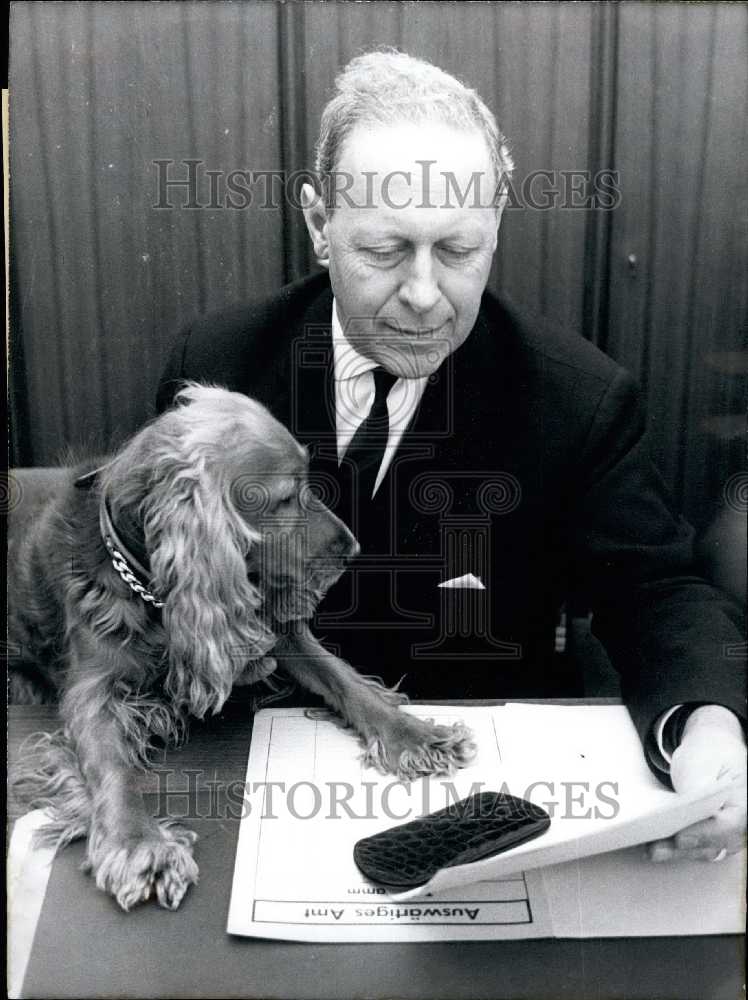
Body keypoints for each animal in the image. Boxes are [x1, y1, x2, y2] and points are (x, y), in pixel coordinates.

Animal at [8, 384, 474, 916]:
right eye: (285, 498)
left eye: (308, 483)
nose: (353, 549)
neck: (157, 597)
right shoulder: (91, 691)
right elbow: (112, 768)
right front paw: (139, 844)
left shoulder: (274, 631)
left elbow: (342, 678)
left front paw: (413, 734)